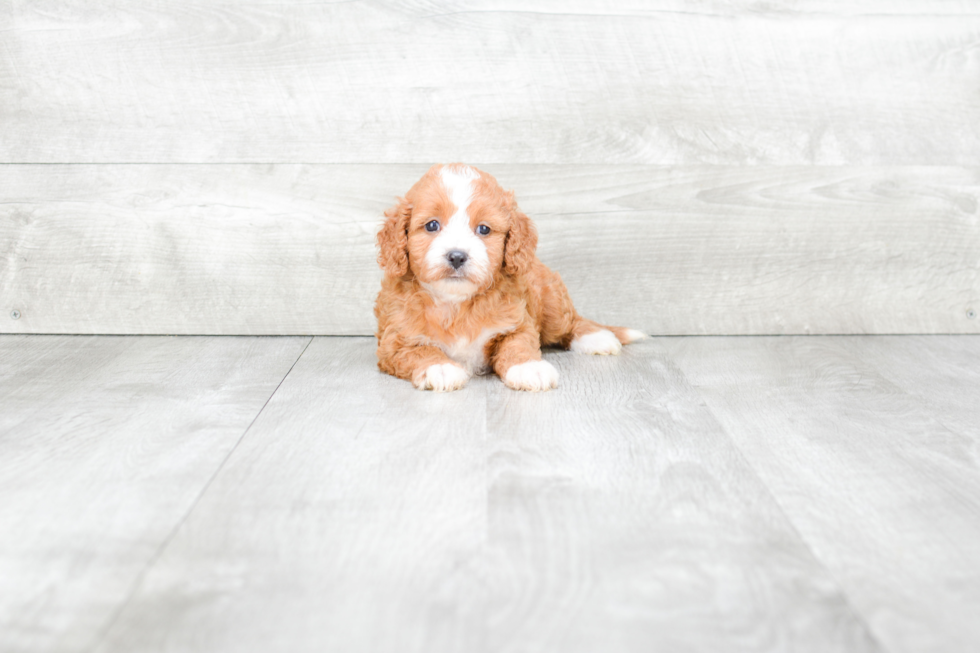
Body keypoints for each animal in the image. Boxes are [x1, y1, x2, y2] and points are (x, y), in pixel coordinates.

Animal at [374, 163, 644, 390]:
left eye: (484, 229)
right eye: (431, 225)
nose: (457, 256)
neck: (456, 303)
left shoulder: (518, 323)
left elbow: (518, 344)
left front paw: (529, 368)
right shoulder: (395, 340)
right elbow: (419, 351)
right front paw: (440, 368)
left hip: (552, 304)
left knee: (570, 323)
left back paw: (597, 337)